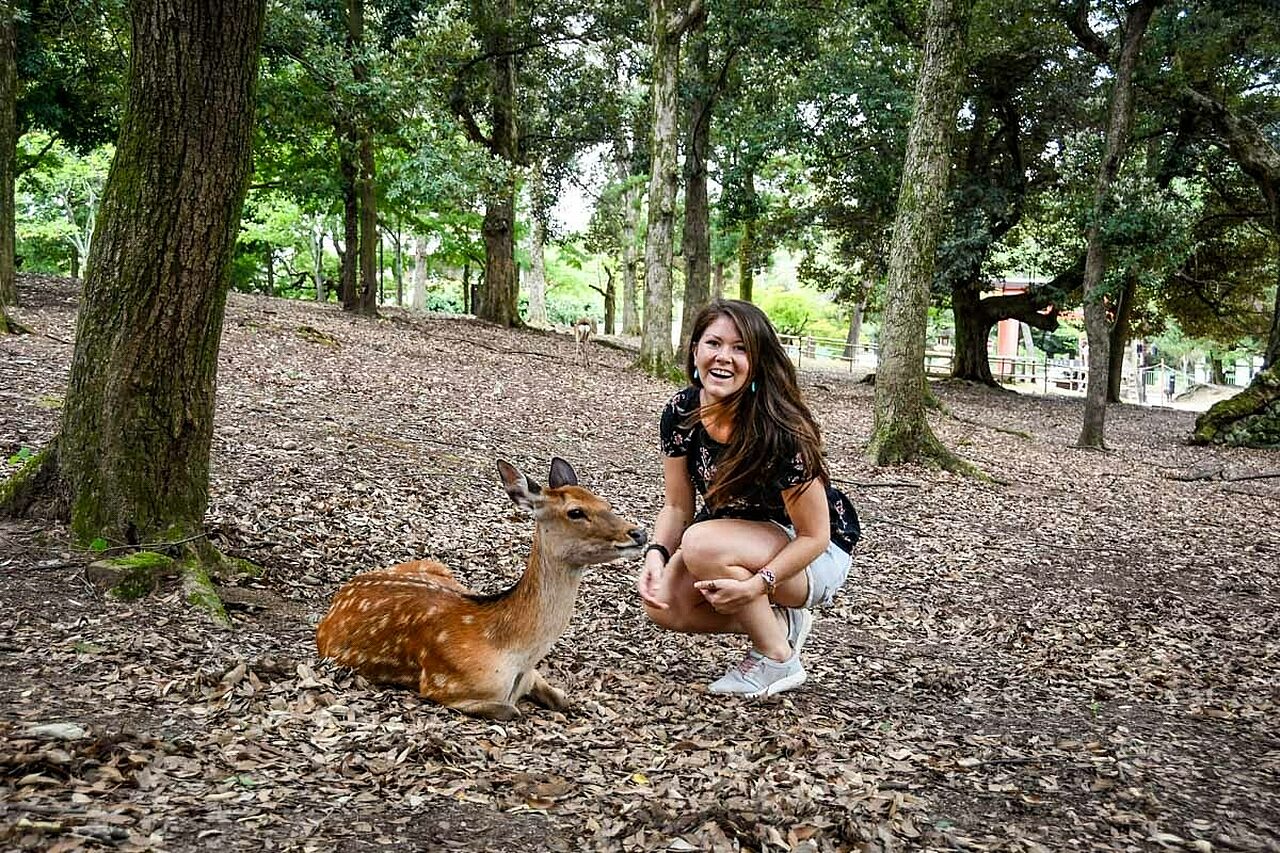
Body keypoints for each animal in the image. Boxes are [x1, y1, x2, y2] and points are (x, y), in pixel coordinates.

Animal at [315, 458, 646, 720]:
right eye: (575, 512)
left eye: (606, 503)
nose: (639, 533)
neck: (516, 654)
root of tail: (342, 592)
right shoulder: (441, 684)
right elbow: (511, 711)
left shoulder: (533, 675)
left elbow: (564, 700)